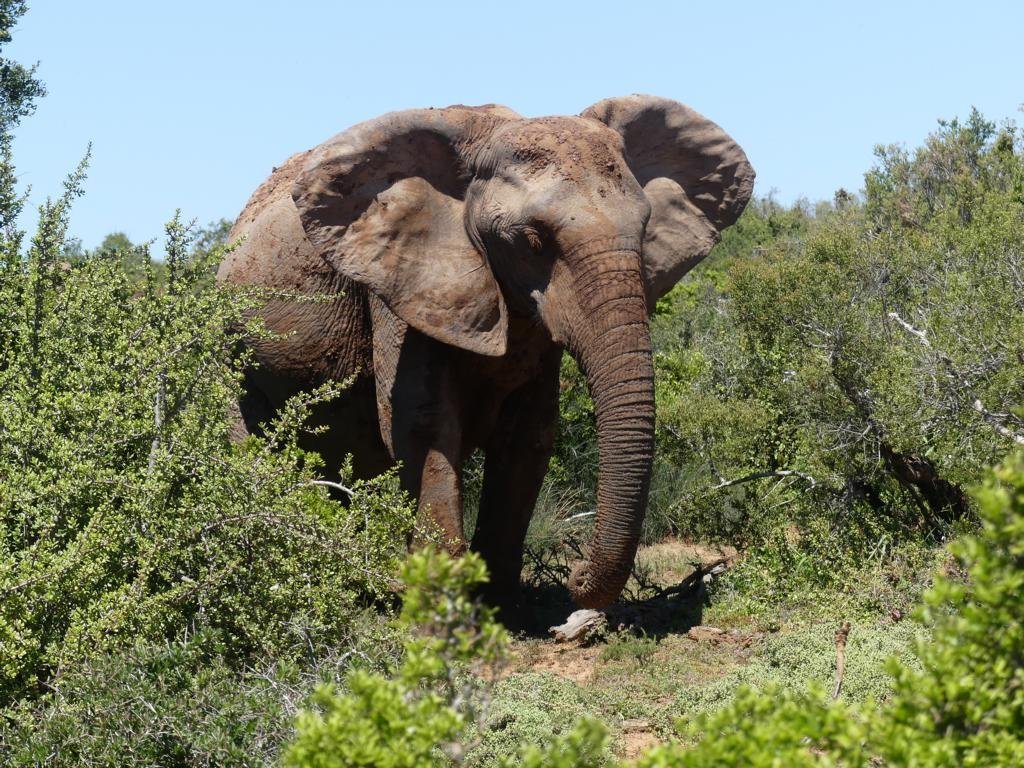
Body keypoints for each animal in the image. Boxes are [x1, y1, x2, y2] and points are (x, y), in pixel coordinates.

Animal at [216, 96, 757, 610]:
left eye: (645, 230)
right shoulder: (400, 287)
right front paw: (445, 609)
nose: (578, 576)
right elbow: (422, 424)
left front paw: (499, 606)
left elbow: (529, 433)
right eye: (533, 241)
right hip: (232, 356)